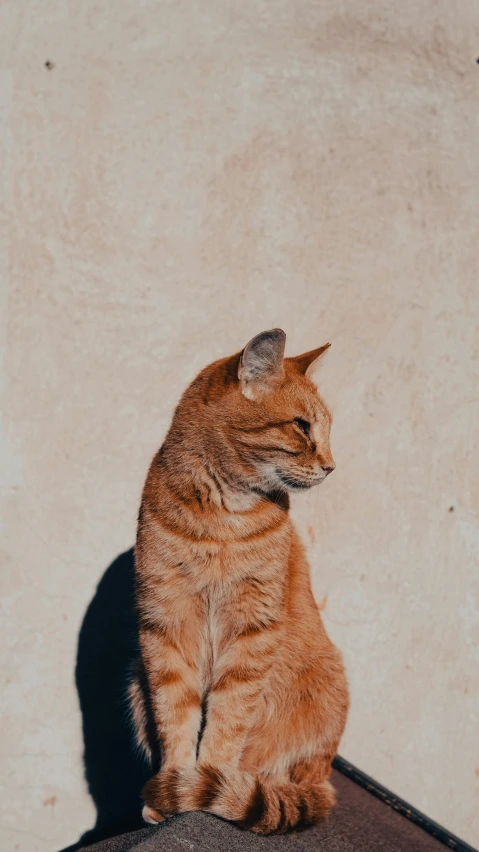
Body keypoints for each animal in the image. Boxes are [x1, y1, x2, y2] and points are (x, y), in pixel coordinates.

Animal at [131, 332, 348, 832]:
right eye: (302, 426)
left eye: (325, 428)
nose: (331, 466)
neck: (222, 519)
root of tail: (323, 779)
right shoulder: (166, 625)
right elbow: (176, 716)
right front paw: (175, 787)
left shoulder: (253, 631)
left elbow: (229, 720)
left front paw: (207, 784)